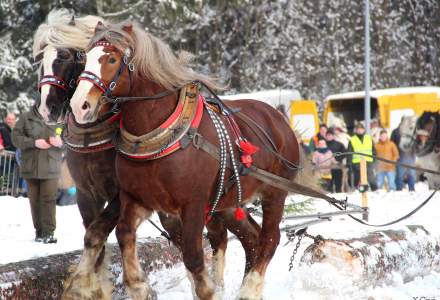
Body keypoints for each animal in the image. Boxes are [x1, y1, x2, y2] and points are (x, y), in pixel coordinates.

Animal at [70, 21, 300, 300]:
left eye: (112, 59)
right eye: (84, 59)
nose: (79, 105)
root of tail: (278, 118)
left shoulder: (193, 204)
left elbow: (192, 255)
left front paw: (208, 290)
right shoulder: (136, 199)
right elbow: (123, 233)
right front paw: (138, 285)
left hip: (275, 193)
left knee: (270, 238)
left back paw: (249, 289)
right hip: (226, 202)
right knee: (251, 238)